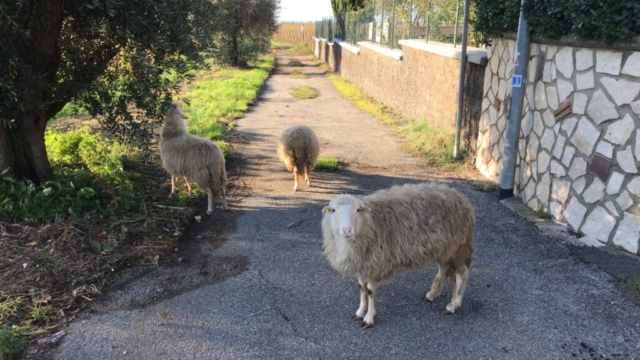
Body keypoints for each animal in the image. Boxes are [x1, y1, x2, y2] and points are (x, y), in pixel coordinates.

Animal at [320, 184, 476, 328]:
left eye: (358, 210)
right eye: (333, 210)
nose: (347, 231)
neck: (369, 222)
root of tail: (462, 199)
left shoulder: (376, 262)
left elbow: (370, 291)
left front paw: (369, 318)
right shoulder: (363, 263)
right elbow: (362, 288)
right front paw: (360, 312)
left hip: (457, 246)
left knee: (462, 274)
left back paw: (453, 305)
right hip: (444, 248)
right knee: (444, 269)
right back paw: (432, 294)